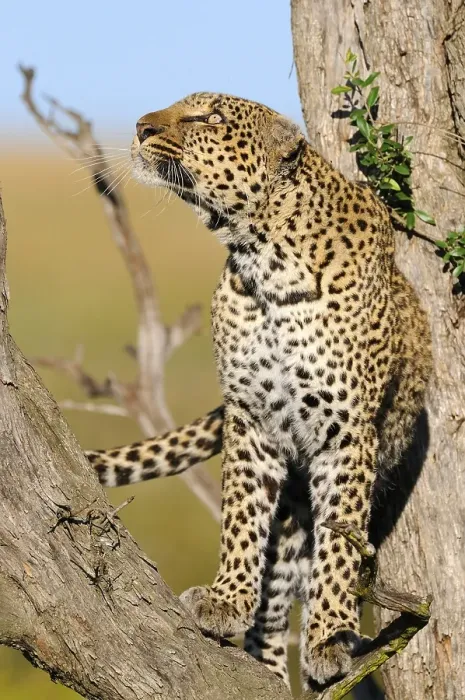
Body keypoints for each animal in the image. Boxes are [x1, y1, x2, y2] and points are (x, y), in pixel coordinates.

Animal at [85, 92, 432, 691]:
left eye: (209, 118)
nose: (140, 127)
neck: (263, 260)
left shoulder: (346, 435)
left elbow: (340, 544)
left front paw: (330, 637)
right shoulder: (252, 420)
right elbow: (241, 519)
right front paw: (226, 600)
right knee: (270, 610)